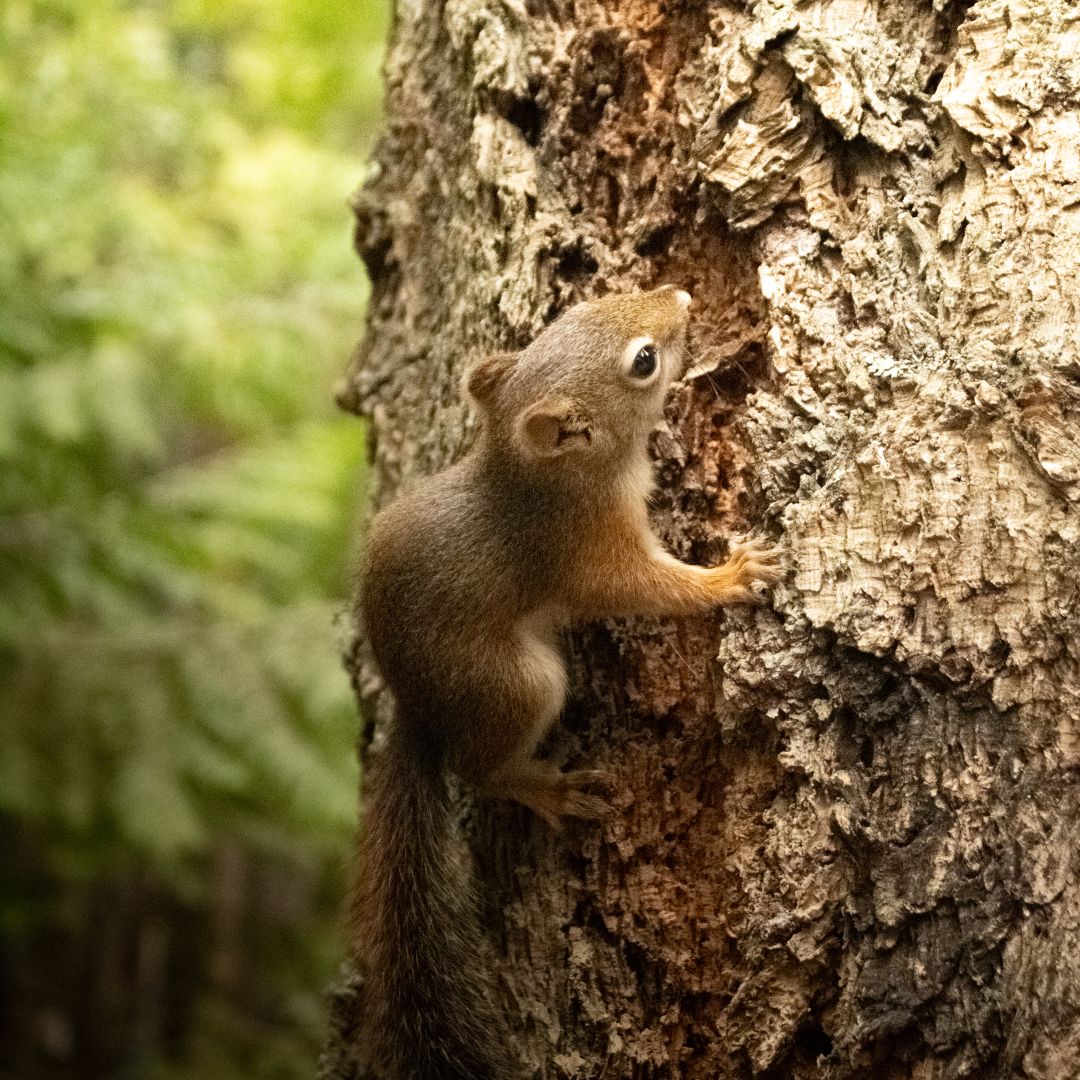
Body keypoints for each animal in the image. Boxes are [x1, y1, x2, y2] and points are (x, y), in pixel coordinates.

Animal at [349, 285, 783, 1079]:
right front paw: (727, 578)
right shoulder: (585, 548)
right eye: (644, 362)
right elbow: (644, 588)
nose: (681, 295)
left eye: (584, 306)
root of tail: (418, 708)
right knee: (480, 769)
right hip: (518, 684)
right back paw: (549, 789)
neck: (539, 476)